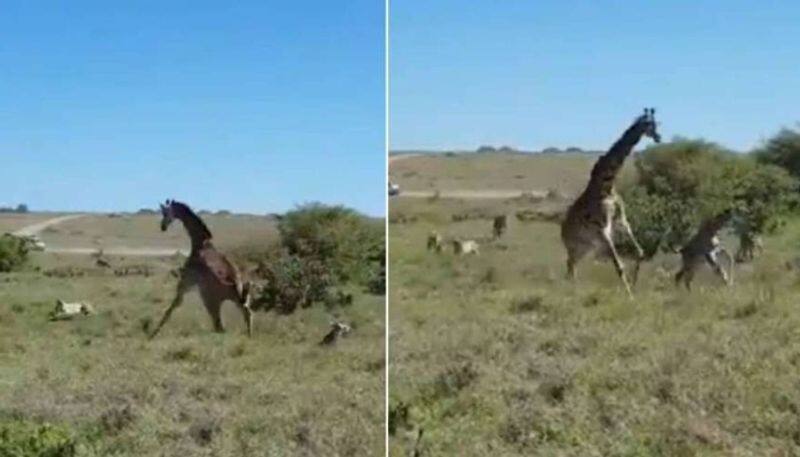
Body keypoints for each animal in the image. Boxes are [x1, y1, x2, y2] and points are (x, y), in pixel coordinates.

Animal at [148, 200, 253, 338]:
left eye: (165, 212)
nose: (163, 227)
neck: (200, 242)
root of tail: (235, 286)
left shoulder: (186, 282)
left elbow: (174, 305)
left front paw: (153, 334)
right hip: (238, 299)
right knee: (246, 313)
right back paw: (249, 336)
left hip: (210, 299)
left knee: (220, 326)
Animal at [560, 108, 660, 296]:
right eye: (649, 124)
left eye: (657, 123)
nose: (658, 137)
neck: (607, 185)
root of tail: (561, 232)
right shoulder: (603, 229)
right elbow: (619, 266)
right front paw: (630, 297)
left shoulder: (621, 220)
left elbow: (640, 252)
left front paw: (634, 287)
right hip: (575, 246)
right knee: (570, 266)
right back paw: (573, 291)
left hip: (586, 247)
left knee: (572, 266)